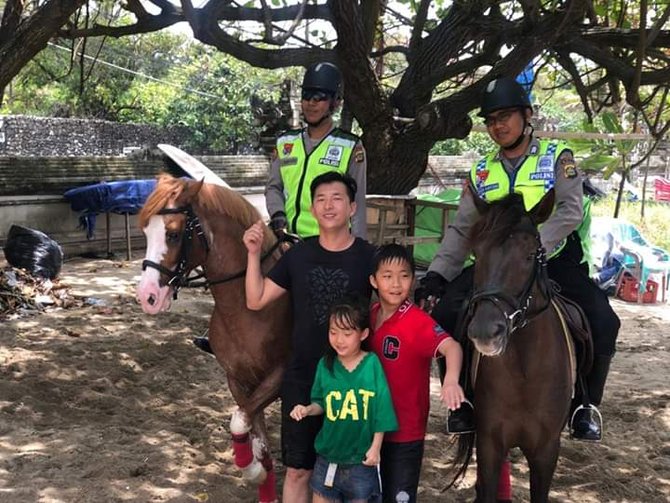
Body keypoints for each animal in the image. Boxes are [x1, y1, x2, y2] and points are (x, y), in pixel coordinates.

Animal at [136, 174, 292, 503]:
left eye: (173, 234)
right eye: (145, 232)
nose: (147, 297)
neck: (252, 301)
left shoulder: (280, 376)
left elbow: (239, 421)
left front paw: (252, 470)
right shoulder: (239, 380)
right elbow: (255, 436)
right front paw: (259, 473)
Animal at [454, 190, 580, 503]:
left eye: (529, 255)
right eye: (477, 253)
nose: (485, 332)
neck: (525, 372)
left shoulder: (546, 450)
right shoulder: (490, 442)